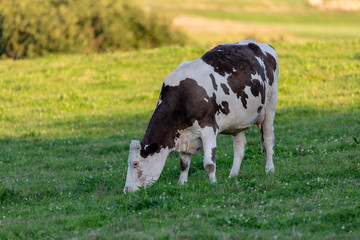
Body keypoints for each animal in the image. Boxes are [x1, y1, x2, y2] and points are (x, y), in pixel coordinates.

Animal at [124, 39, 278, 193]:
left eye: (135, 163)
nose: (126, 190)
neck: (183, 98)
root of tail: (260, 44)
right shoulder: (183, 135)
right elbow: (184, 164)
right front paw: (182, 184)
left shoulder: (208, 128)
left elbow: (209, 164)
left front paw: (213, 183)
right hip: (238, 120)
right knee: (240, 147)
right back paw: (233, 175)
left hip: (270, 103)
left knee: (268, 139)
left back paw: (270, 170)